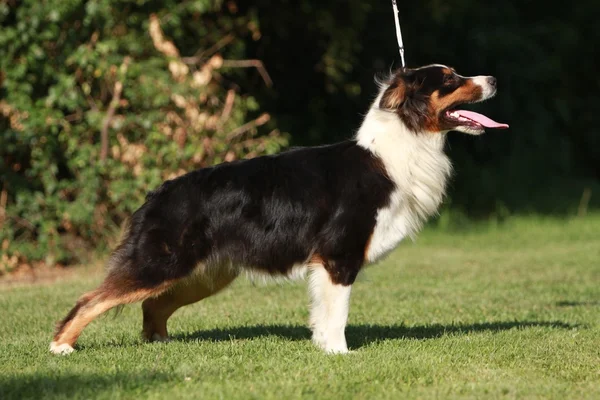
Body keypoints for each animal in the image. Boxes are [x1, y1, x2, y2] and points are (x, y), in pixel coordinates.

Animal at [50, 64, 506, 354]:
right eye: (450, 79)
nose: (493, 78)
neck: (400, 145)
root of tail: (157, 192)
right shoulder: (338, 256)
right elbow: (337, 313)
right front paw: (340, 355)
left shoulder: (327, 262)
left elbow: (323, 314)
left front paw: (323, 348)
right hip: (161, 262)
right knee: (91, 299)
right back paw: (61, 347)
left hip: (207, 273)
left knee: (152, 305)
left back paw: (160, 344)